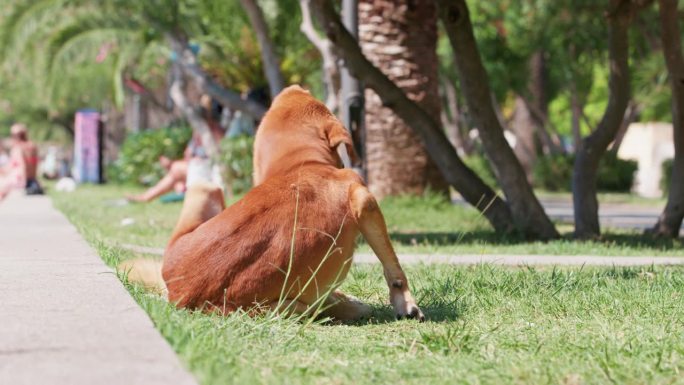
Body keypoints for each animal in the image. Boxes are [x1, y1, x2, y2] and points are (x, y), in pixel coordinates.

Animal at [132, 85, 424, 320]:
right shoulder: (363, 198)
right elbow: (393, 266)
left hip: (205, 187)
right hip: (289, 308)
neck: (302, 164)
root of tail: (179, 294)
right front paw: (406, 304)